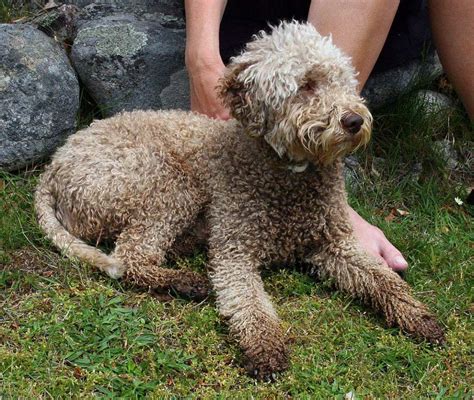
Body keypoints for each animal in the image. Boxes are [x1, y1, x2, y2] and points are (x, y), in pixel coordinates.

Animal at [36, 21, 444, 378]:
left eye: (344, 81)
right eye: (306, 85)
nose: (354, 121)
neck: (288, 176)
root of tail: (53, 167)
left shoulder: (336, 244)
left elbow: (384, 280)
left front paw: (418, 316)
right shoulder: (235, 252)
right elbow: (249, 306)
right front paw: (265, 350)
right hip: (170, 184)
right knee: (130, 256)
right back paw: (185, 281)